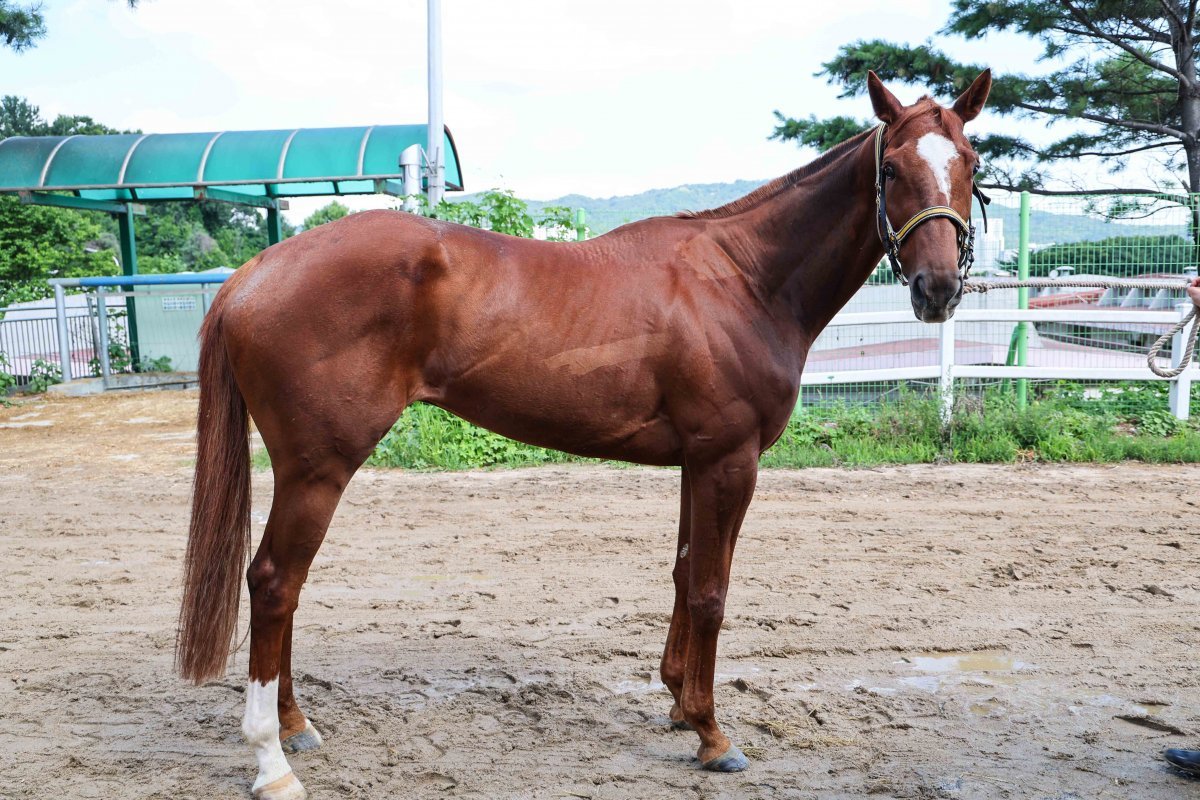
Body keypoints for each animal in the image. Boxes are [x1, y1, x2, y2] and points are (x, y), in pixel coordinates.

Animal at [174, 71, 988, 796]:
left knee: (285, 591)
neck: (742, 279)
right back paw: (272, 762)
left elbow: (684, 574)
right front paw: (712, 734)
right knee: (273, 583)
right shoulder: (730, 461)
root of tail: (254, 273)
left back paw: (295, 725)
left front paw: (677, 703)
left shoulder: (697, 463)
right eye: (892, 167)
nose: (938, 289)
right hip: (319, 467)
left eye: (971, 164)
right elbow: (712, 591)